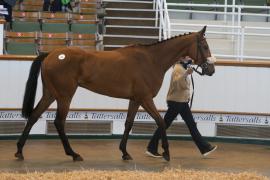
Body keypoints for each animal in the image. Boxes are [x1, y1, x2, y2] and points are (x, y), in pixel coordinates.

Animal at [15, 25, 215, 162]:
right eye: (205, 46)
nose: (211, 69)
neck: (151, 60)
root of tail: (51, 54)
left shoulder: (135, 99)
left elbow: (128, 123)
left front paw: (125, 152)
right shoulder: (145, 98)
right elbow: (160, 121)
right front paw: (165, 152)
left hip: (50, 94)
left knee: (34, 116)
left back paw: (19, 151)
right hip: (64, 96)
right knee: (58, 122)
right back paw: (73, 154)